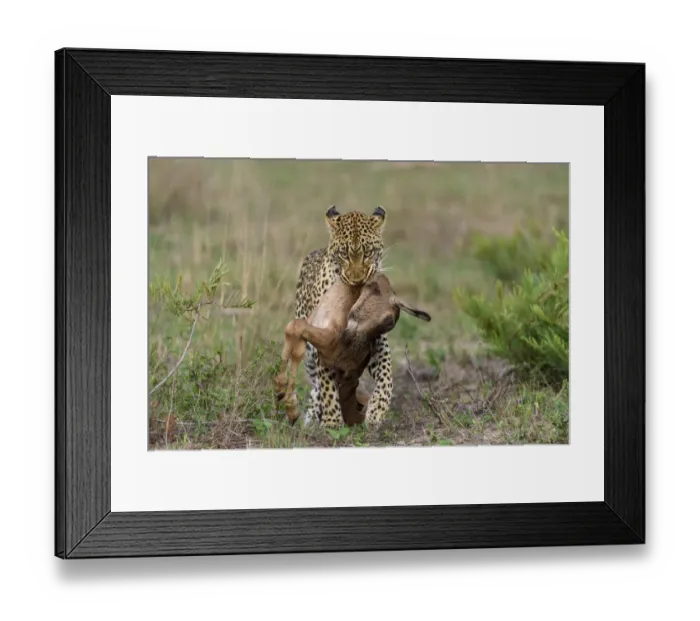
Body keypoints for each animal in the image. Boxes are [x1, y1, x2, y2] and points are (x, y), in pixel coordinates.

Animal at [294, 205, 393, 429]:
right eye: (344, 255)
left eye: (368, 252)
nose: (357, 280)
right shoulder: (323, 341)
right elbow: (326, 385)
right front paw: (332, 422)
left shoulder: (377, 340)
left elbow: (386, 374)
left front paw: (377, 411)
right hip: (308, 354)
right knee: (316, 385)